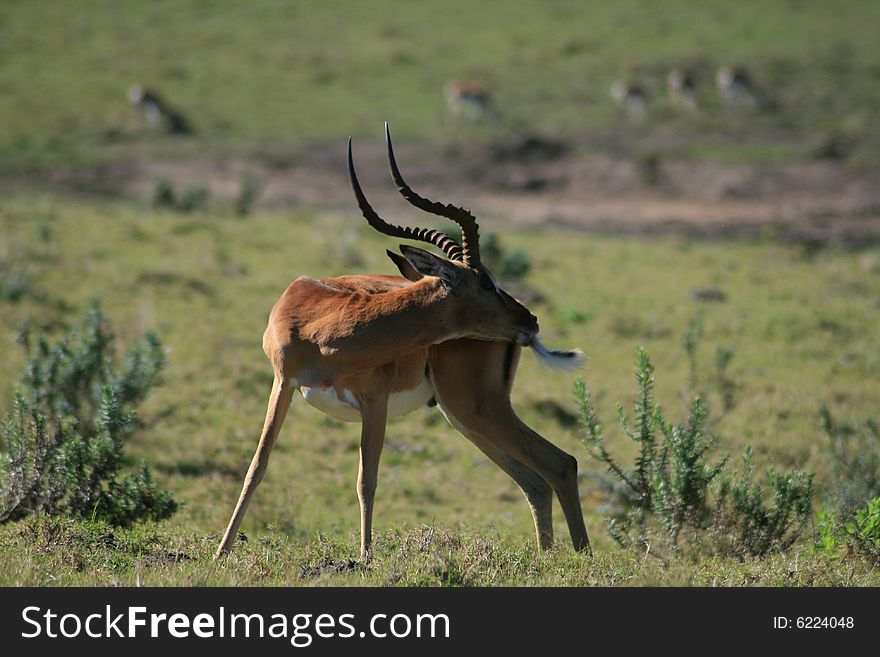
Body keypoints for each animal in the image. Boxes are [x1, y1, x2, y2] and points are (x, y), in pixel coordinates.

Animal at [215, 125, 592, 560]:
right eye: (486, 282)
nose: (529, 319)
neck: (323, 326)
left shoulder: (374, 400)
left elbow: (367, 479)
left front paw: (365, 558)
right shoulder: (284, 384)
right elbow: (256, 467)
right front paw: (221, 552)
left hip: (475, 408)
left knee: (561, 463)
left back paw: (581, 558)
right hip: (463, 414)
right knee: (536, 479)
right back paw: (550, 556)